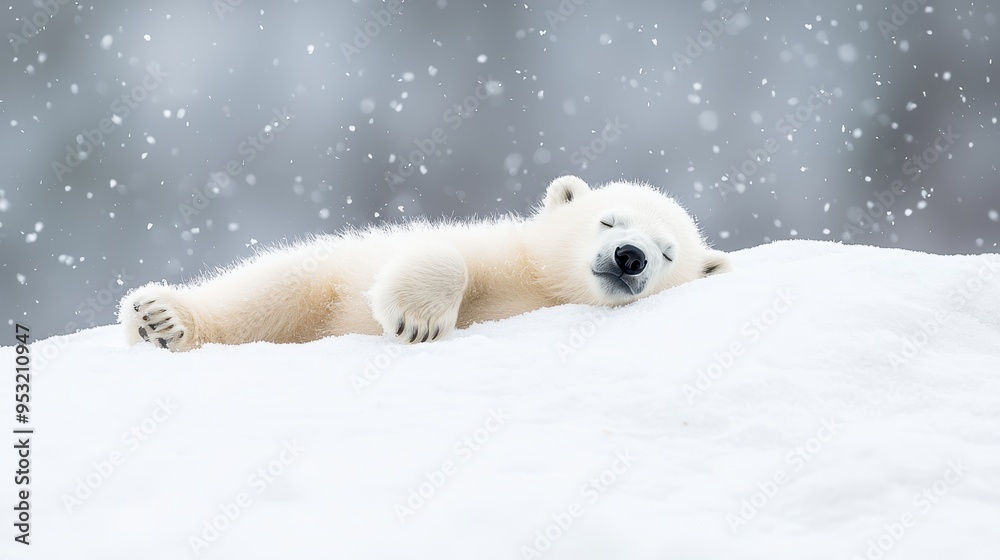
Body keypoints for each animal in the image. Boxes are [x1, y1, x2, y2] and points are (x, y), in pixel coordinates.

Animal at [119, 176, 731, 351]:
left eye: (669, 252)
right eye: (608, 221)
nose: (630, 256)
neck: (545, 289)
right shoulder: (503, 255)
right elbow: (447, 252)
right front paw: (418, 320)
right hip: (319, 276)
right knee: (270, 290)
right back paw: (163, 318)